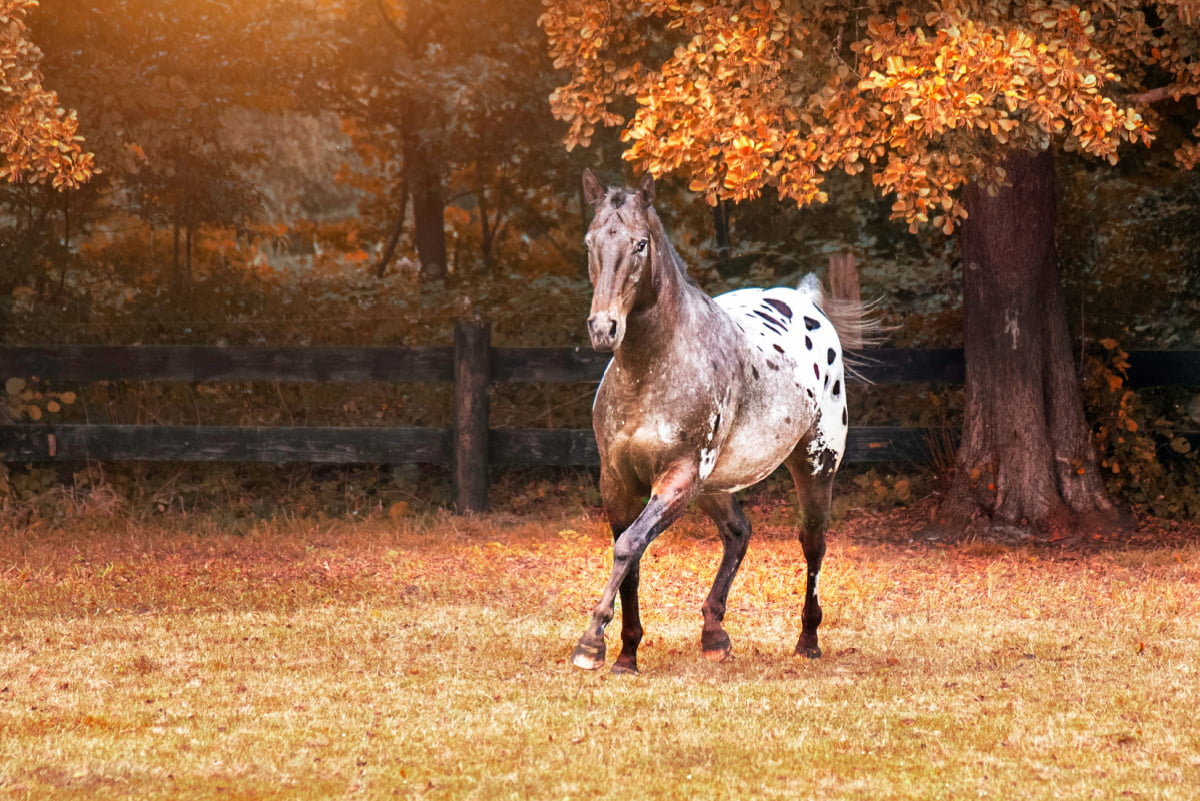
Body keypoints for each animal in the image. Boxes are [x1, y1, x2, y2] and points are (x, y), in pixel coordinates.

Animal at [571, 170, 873, 676]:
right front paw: (626, 654)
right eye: (590, 241)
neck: (650, 371)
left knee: (813, 544)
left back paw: (808, 641)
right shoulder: (617, 482)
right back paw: (714, 635)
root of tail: (804, 301)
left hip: (814, 467)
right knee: (738, 533)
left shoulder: (678, 477)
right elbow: (630, 558)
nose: (603, 328)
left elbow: (629, 547)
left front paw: (591, 644)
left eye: (639, 244)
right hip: (715, 484)